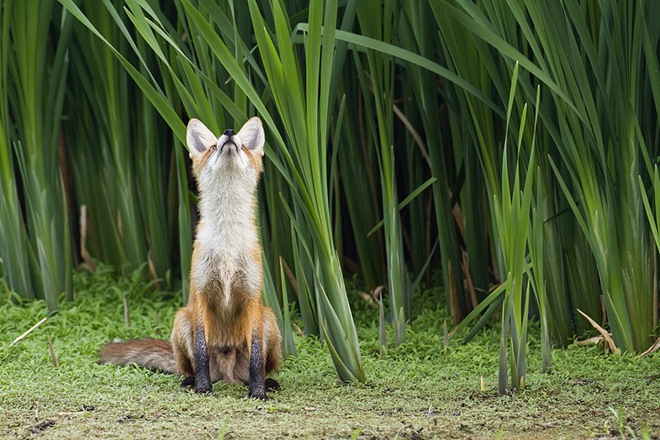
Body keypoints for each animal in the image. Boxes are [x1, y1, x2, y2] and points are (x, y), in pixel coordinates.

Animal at [100, 117, 282, 398]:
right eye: (212, 147)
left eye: (243, 146)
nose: (229, 133)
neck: (227, 245)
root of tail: (227, 374)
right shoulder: (201, 295)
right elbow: (201, 351)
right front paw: (203, 388)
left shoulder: (252, 298)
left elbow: (255, 358)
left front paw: (258, 392)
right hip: (181, 320)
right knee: (190, 366)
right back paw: (191, 381)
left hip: (269, 319)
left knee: (258, 366)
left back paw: (266, 382)